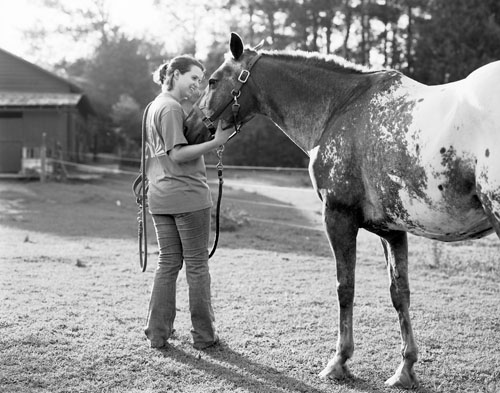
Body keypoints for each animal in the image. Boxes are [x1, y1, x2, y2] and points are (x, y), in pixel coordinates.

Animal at [184, 32, 500, 388]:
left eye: (212, 80)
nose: (191, 127)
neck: (340, 107)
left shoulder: (338, 217)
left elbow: (344, 288)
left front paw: (338, 362)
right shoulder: (392, 231)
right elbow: (399, 293)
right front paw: (404, 370)